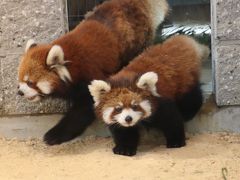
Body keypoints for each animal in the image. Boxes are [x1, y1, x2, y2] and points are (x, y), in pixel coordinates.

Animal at [16, 0, 169, 145]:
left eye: (30, 83)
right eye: (20, 81)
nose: (20, 92)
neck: (71, 67)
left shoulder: (89, 75)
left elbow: (82, 110)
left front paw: (55, 135)